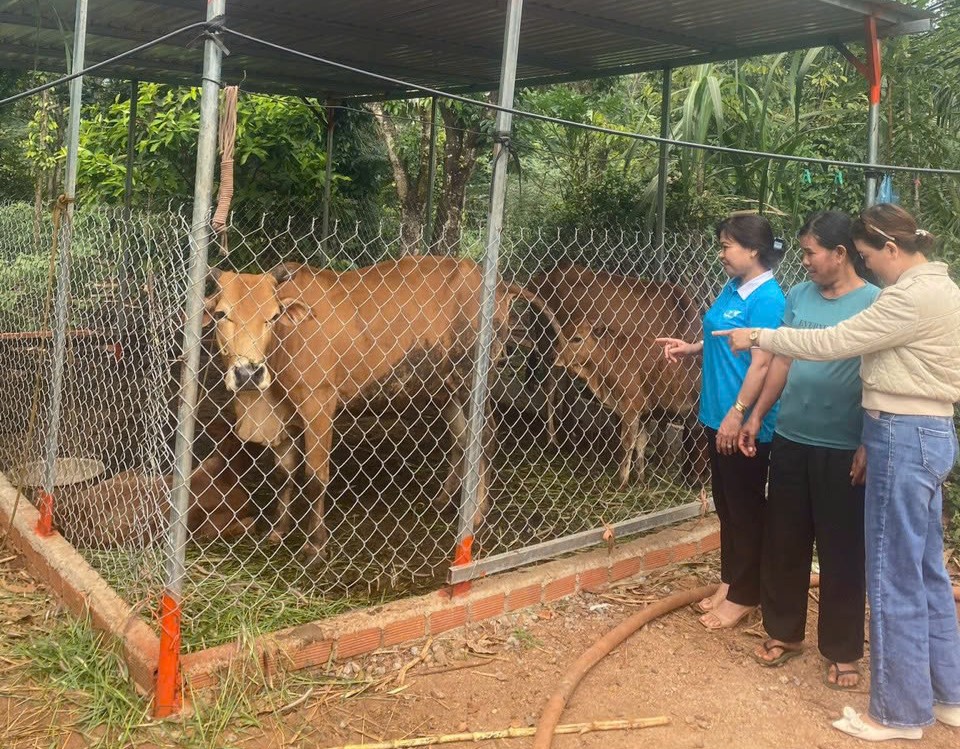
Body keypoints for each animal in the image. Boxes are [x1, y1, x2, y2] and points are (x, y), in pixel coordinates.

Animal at [205, 254, 532, 560]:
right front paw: (278, 530)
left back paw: (477, 514)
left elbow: (315, 477)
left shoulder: (318, 405)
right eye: (222, 314)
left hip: (473, 378)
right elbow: (282, 474)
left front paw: (315, 545)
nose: (249, 373)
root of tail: (499, 284)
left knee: (485, 436)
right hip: (447, 387)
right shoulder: (284, 414)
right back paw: (445, 499)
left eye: (273, 316)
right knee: (462, 438)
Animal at [524, 262, 704, 486]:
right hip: (547, 344)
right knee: (550, 388)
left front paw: (660, 458)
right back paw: (552, 439)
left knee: (565, 390)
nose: (696, 481)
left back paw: (570, 431)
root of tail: (540, 278)